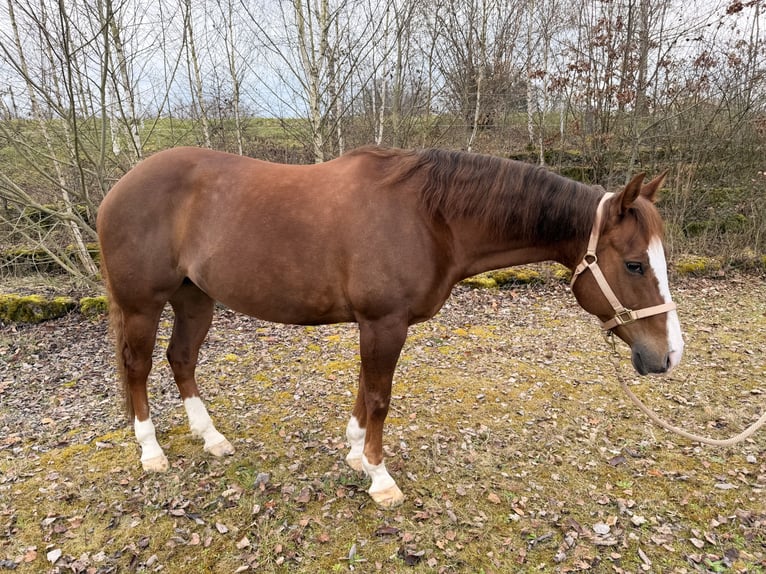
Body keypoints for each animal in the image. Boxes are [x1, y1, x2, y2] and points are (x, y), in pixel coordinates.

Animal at [97, 146, 684, 508]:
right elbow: (380, 396)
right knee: (138, 368)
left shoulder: (375, 325)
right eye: (635, 264)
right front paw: (380, 479)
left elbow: (364, 391)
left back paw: (211, 437)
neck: (430, 218)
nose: (669, 355)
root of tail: (119, 188)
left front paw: (357, 454)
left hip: (195, 299)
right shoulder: (384, 323)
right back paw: (151, 452)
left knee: (181, 359)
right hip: (144, 305)